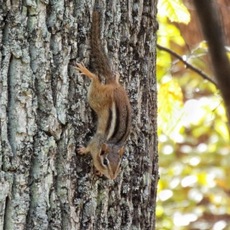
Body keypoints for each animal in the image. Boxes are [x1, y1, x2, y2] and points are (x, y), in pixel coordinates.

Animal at [76, 9, 131, 180]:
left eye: (119, 164)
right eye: (105, 161)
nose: (112, 177)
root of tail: (114, 86)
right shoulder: (96, 141)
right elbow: (89, 147)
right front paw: (82, 150)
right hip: (95, 98)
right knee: (95, 79)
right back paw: (87, 72)